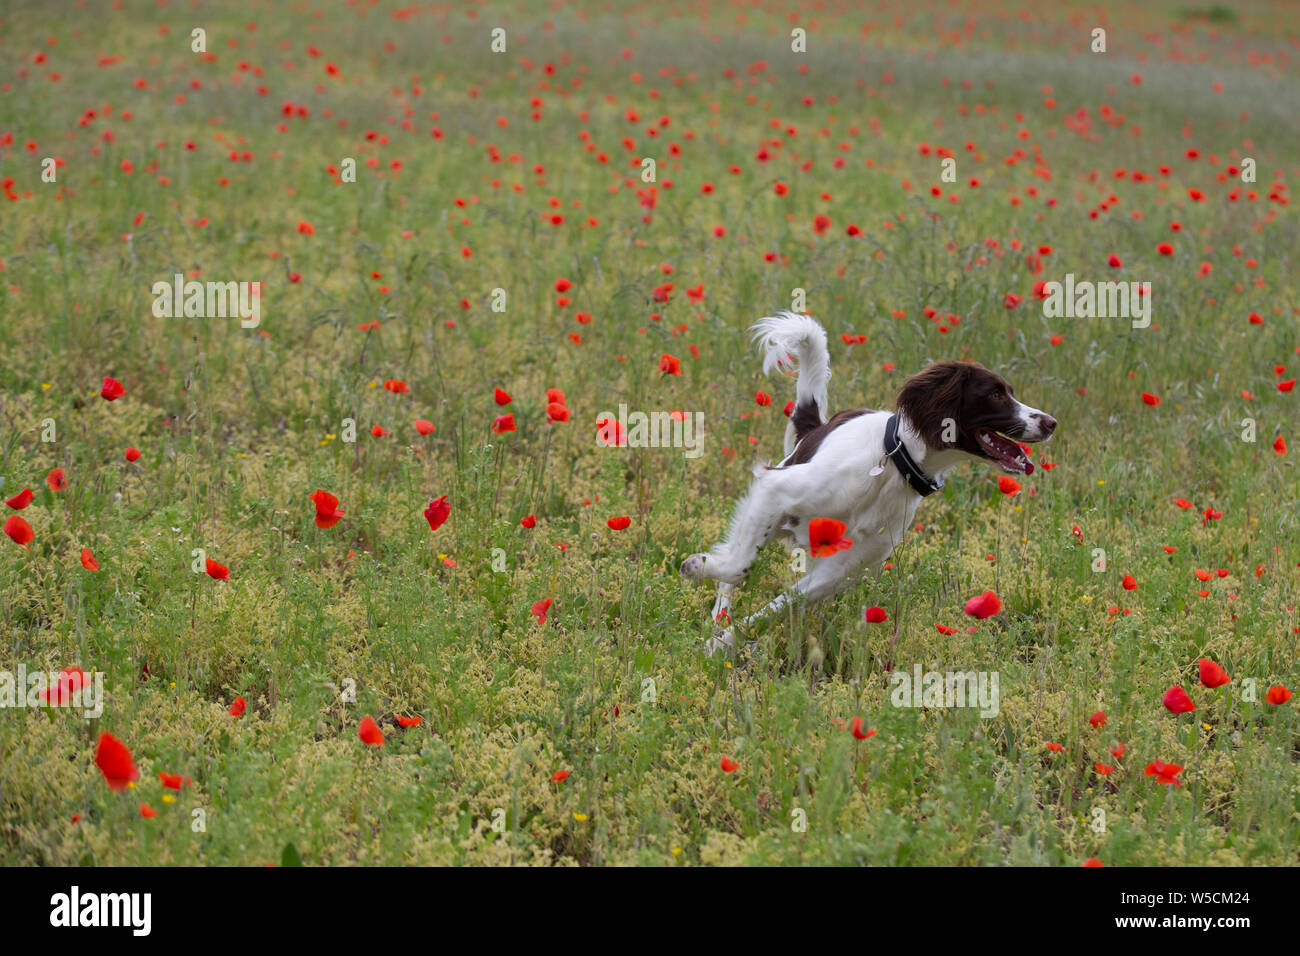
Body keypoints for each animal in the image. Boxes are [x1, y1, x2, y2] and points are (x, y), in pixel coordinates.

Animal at [681, 314, 1055, 658]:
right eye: (995, 393)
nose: (1052, 422)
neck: (894, 462)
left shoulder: (836, 570)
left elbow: (778, 606)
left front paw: (720, 645)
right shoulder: (775, 488)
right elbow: (738, 567)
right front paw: (698, 570)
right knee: (731, 570)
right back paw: (719, 611)